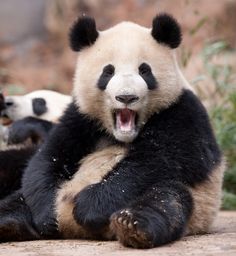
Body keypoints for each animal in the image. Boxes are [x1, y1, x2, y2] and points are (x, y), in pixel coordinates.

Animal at [0, 13, 225, 248]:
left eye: (145, 71)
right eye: (108, 72)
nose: (126, 97)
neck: (122, 135)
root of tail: (71, 226)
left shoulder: (182, 111)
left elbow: (156, 161)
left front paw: (88, 206)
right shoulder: (81, 117)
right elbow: (50, 155)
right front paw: (47, 214)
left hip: (193, 198)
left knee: (166, 198)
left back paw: (132, 225)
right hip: (31, 195)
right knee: (18, 199)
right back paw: (8, 224)